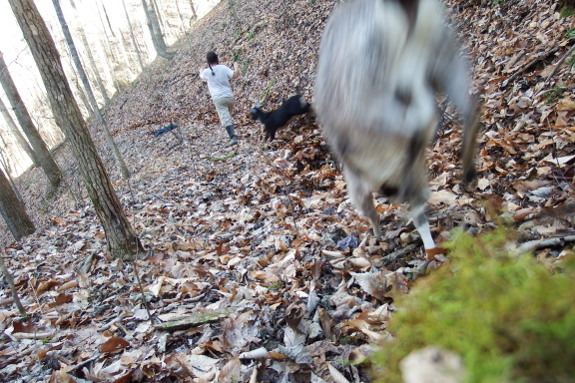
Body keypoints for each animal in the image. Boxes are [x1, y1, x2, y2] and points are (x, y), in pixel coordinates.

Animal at [312, 0, 480, 256]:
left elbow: (366, 203)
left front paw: (378, 228)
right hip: (439, 51)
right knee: (466, 106)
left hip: (367, 78)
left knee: (416, 110)